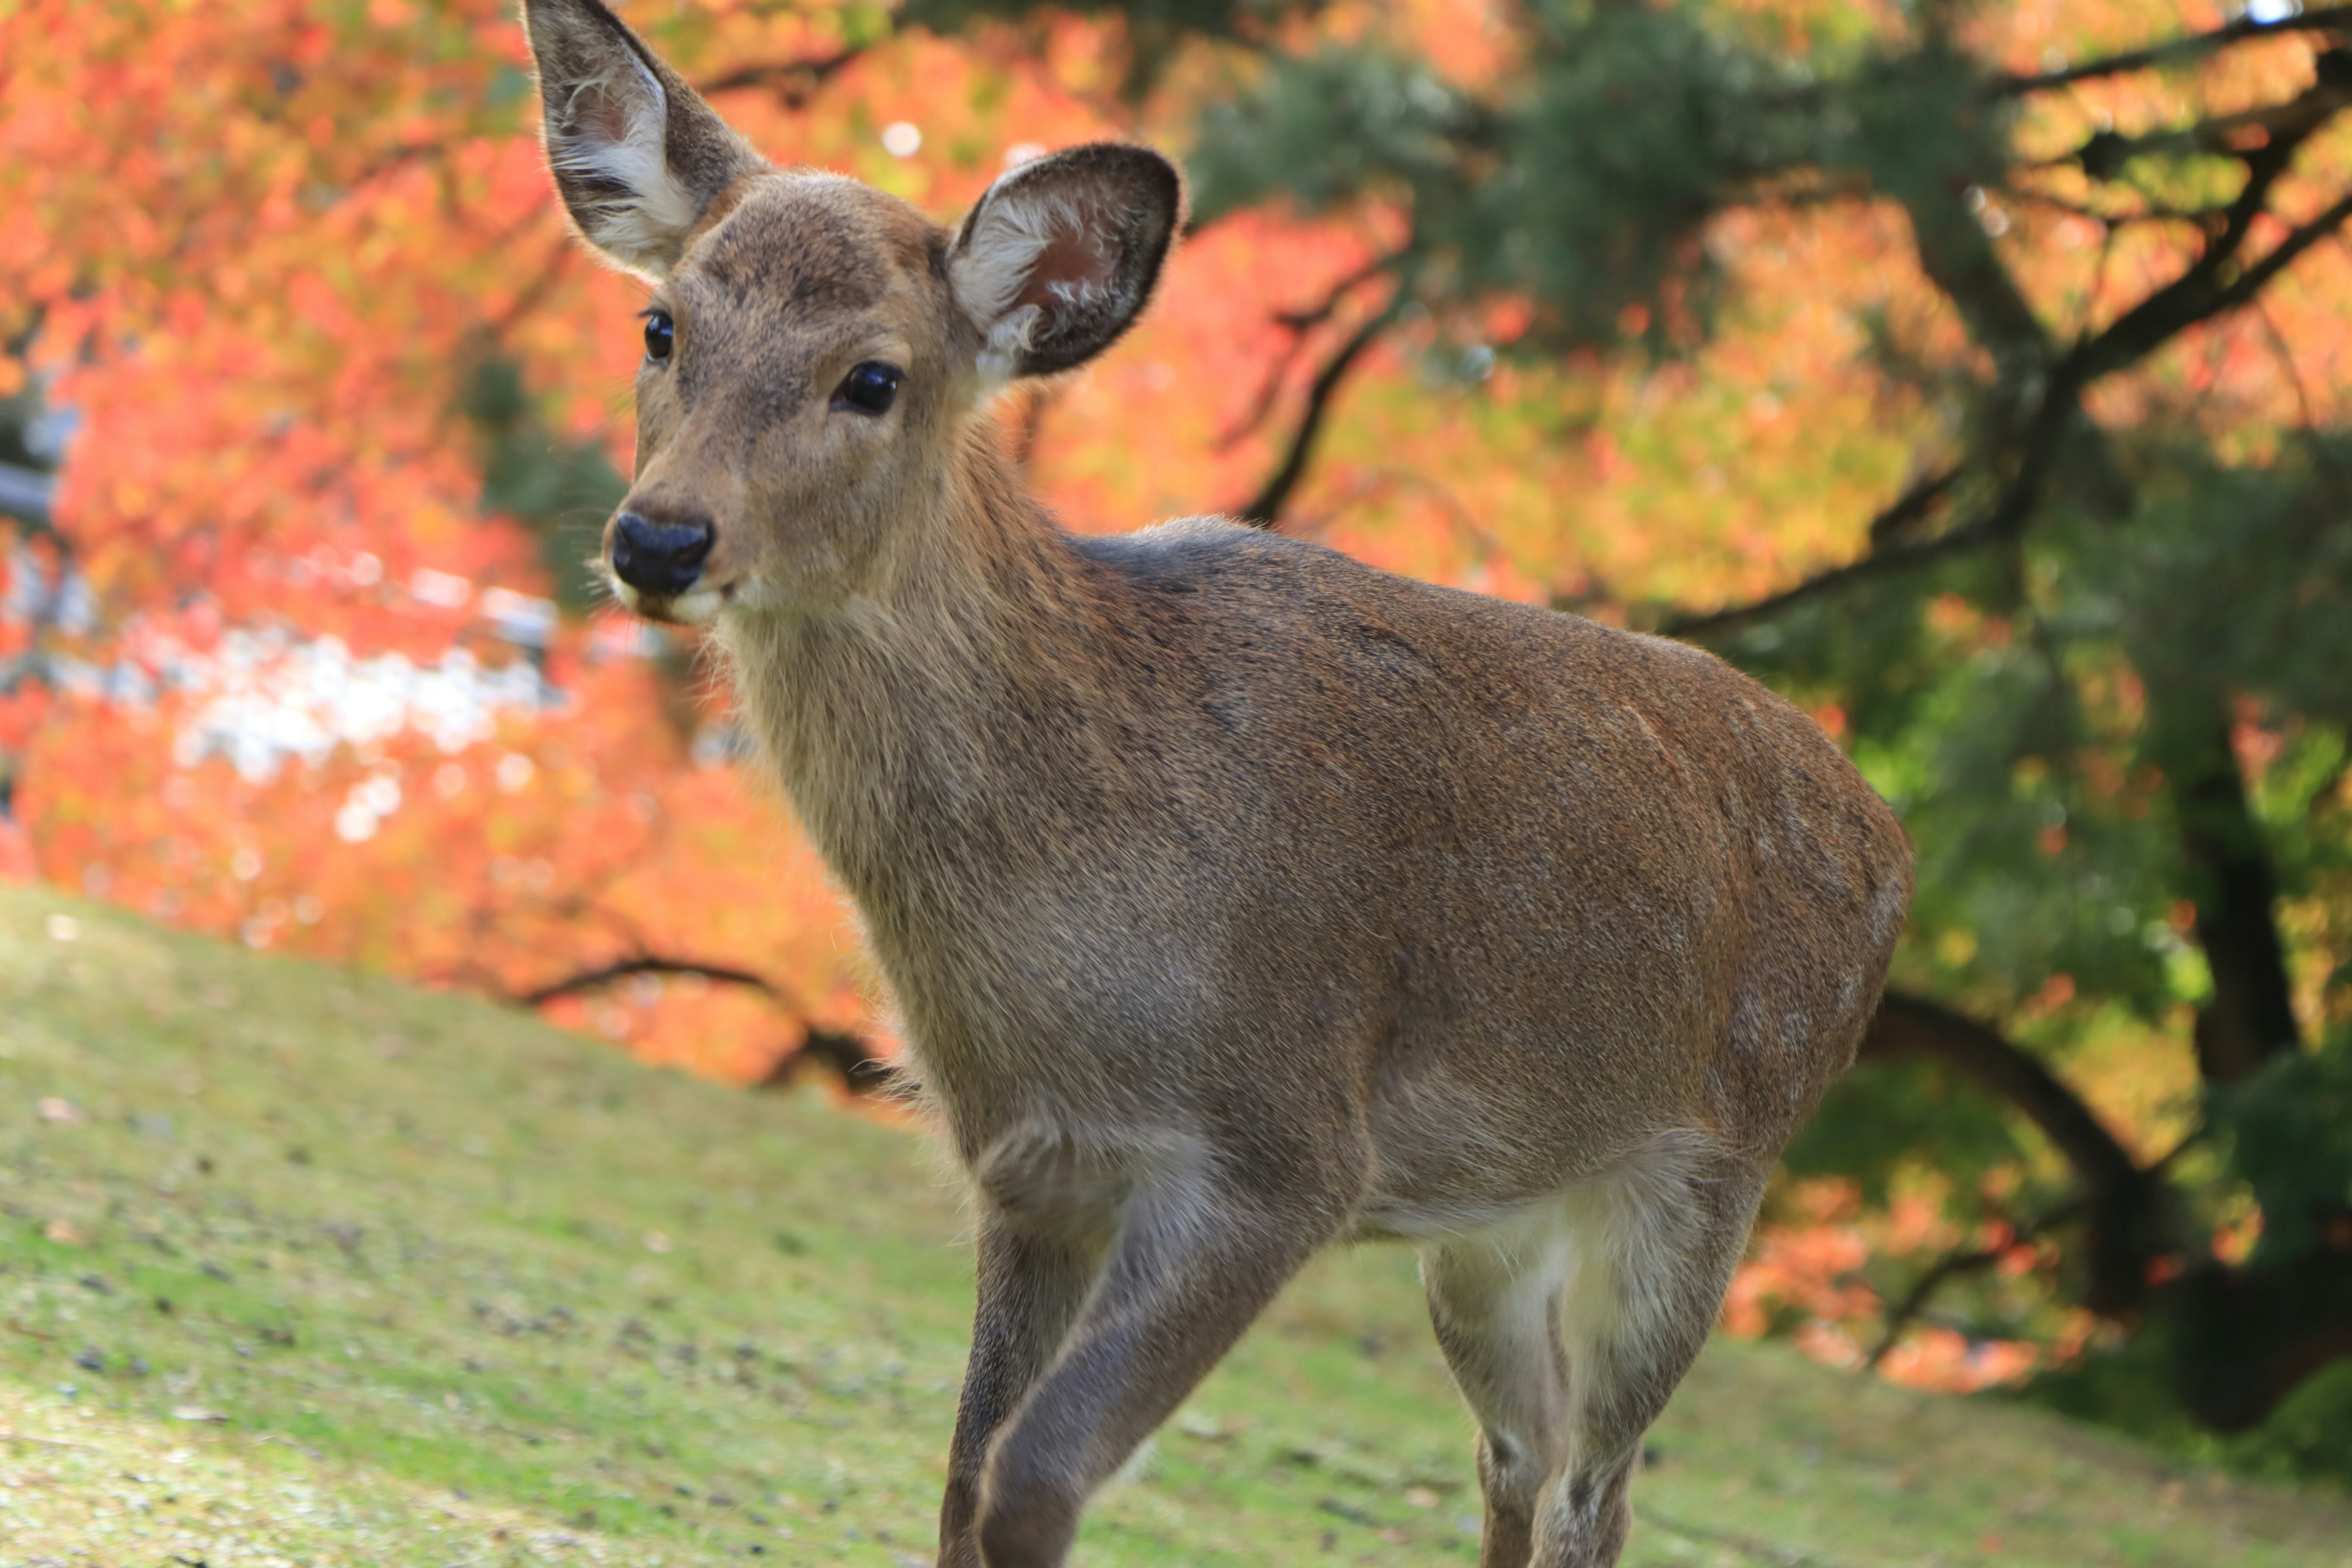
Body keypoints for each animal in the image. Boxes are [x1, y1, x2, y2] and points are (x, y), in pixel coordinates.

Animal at [524, 6, 1919, 1561]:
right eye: (661, 326)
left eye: (873, 377)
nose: (658, 537)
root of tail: (1889, 835)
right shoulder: (1031, 1169)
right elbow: (960, 1472)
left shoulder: (1284, 1145)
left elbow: (1030, 1473)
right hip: (1495, 1214)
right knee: (1522, 1438)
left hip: (1714, 1165)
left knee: (1597, 1480)